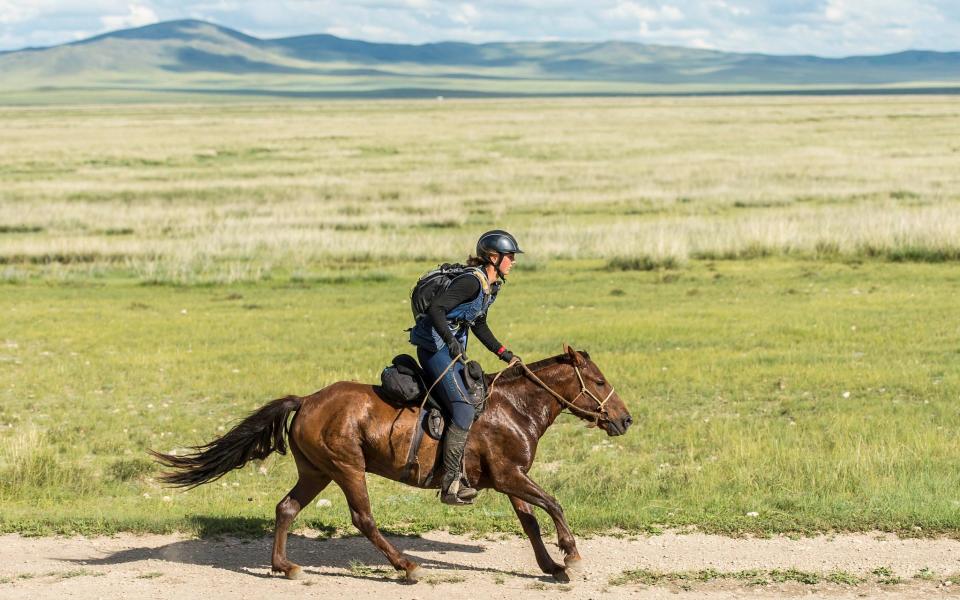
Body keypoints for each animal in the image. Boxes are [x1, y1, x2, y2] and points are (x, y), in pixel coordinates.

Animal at [152, 344, 632, 584]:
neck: (515, 407)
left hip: (316, 472)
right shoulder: (511, 475)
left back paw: (284, 566)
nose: (625, 419)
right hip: (347, 469)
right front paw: (571, 556)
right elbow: (554, 505)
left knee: (286, 508)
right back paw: (406, 566)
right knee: (363, 518)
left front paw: (551, 567)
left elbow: (532, 521)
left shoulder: (508, 478)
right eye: (599, 381)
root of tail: (306, 400)